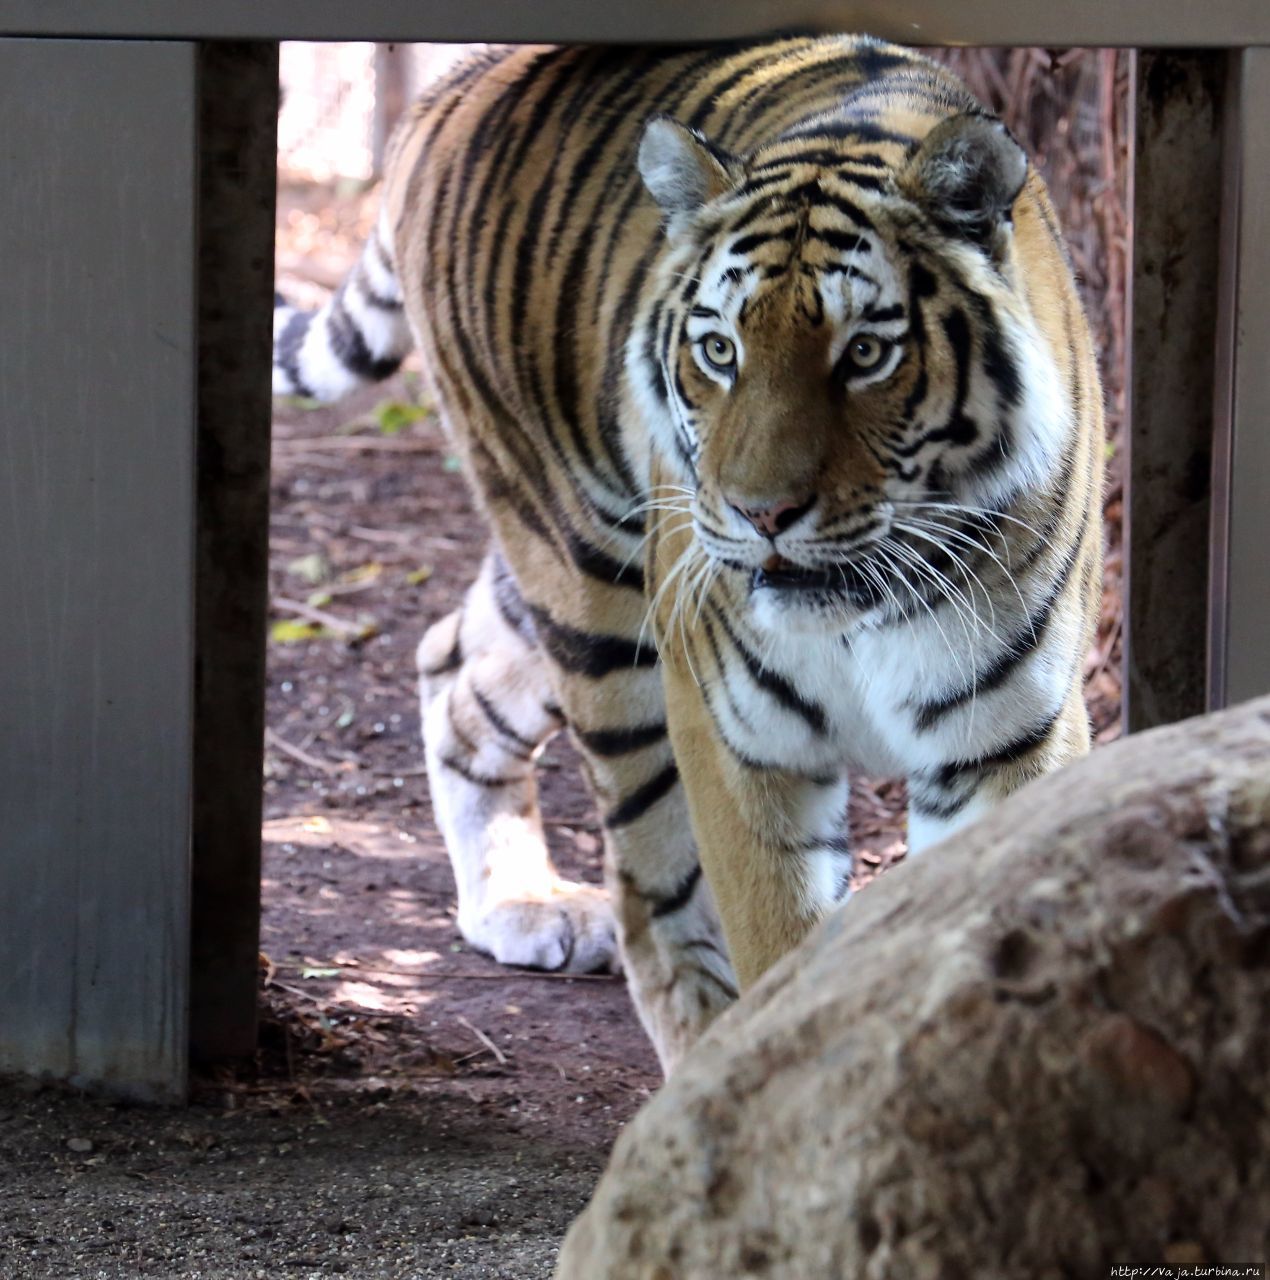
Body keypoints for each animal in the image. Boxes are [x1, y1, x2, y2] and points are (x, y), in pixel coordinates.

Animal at [275, 35, 1101, 1075]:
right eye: (719, 351)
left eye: (866, 353)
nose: (761, 513)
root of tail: (465, 79)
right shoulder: (738, 731)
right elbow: (777, 946)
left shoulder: (1006, 740)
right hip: (593, 591)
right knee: (650, 889)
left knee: (448, 661)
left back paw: (516, 904)